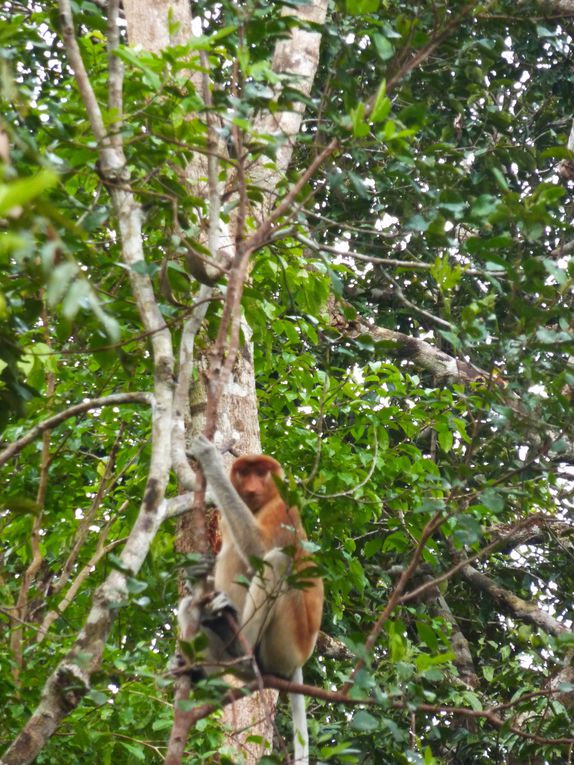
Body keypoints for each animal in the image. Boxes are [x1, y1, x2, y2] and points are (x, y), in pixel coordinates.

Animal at [186, 436, 324, 764]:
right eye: (245, 473)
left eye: (261, 473)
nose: (250, 486)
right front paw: (196, 570)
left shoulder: (283, 510)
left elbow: (259, 550)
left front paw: (210, 457)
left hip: (286, 644)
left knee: (275, 561)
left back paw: (243, 649)